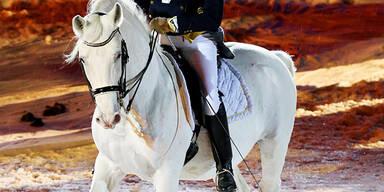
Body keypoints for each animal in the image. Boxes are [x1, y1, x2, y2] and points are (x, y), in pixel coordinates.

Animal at [67, 0, 296, 191]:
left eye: (118, 55)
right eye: (83, 59)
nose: (108, 118)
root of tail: (275, 57)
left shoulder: (166, 174)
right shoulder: (107, 166)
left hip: (274, 143)